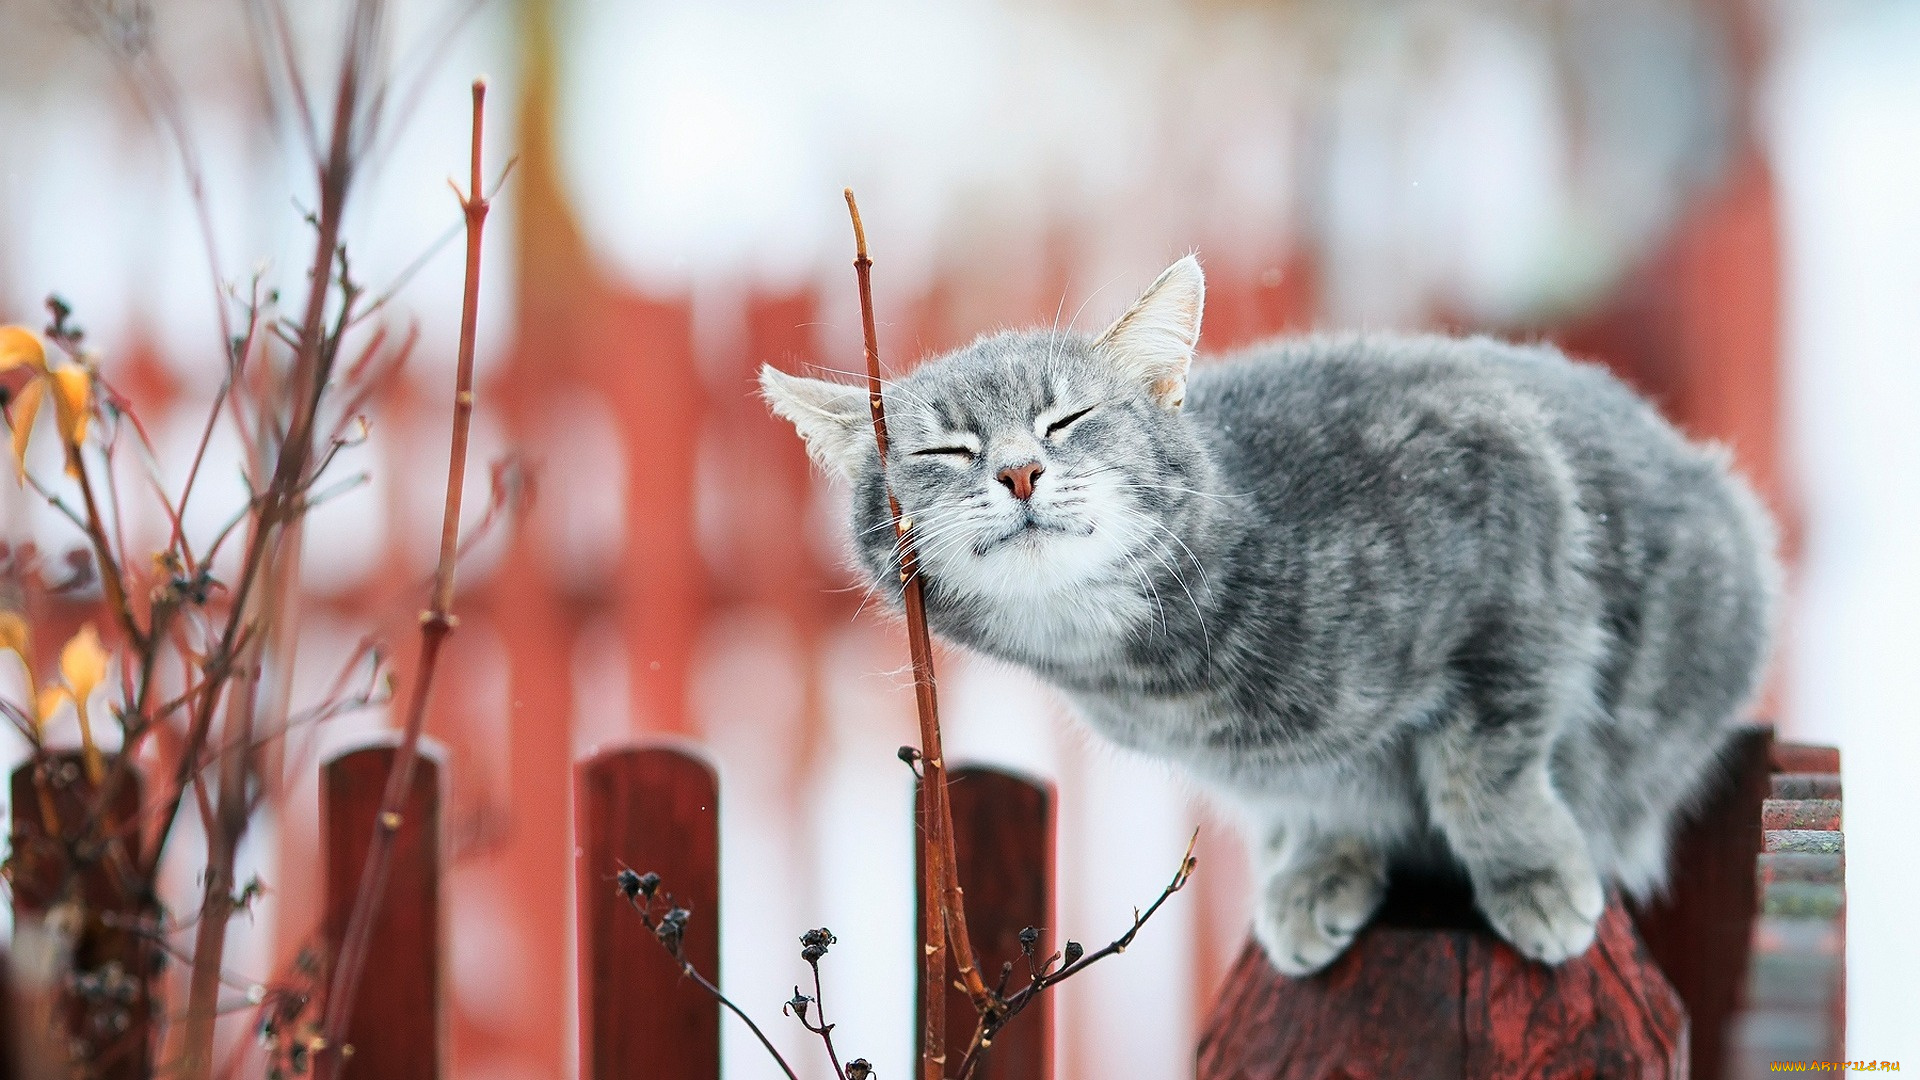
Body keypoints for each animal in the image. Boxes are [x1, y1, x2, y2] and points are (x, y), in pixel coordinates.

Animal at [756, 255, 1774, 972]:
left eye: (1068, 420)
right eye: (946, 449)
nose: (1018, 470)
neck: (1161, 674)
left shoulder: (1516, 557)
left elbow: (1484, 774)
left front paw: (1531, 873)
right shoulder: (1271, 772)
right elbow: (1318, 793)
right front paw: (1322, 865)